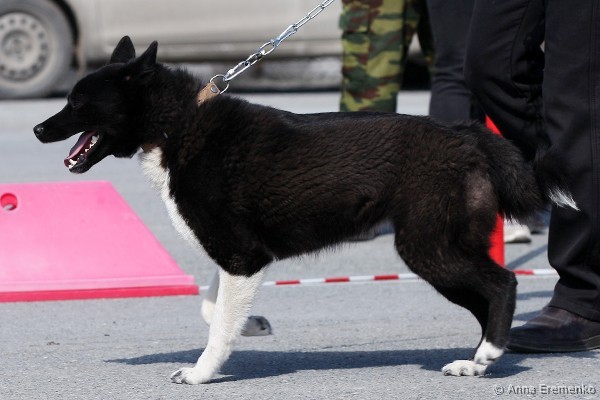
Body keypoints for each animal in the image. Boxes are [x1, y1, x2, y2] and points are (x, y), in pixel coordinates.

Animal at [34, 36, 577, 383]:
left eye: (78, 102)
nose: (39, 130)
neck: (180, 124)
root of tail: (469, 136)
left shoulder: (242, 256)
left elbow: (216, 329)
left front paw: (202, 373)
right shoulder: (238, 256)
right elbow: (215, 308)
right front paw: (250, 324)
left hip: (428, 248)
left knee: (502, 285)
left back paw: (486, 354)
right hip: (441, 251)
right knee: (487, 297)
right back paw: (477, 360)